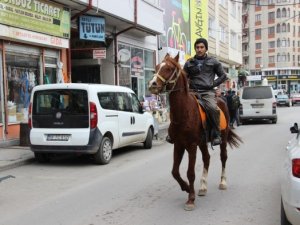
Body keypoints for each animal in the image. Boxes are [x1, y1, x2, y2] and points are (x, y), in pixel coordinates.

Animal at [149, 53, 243, 211]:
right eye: (156, 67)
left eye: (168, 68)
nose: (152, 85)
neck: (183, 112)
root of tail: (221, 99)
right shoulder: (178, 145)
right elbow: (175, 171)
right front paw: (187, 188)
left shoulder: (191, 146)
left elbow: (190, 172)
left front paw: (190, 199)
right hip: (202, 143)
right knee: (207, 158)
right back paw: (203, 186)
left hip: (222, 139)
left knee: (223, 157)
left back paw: (223, 182)